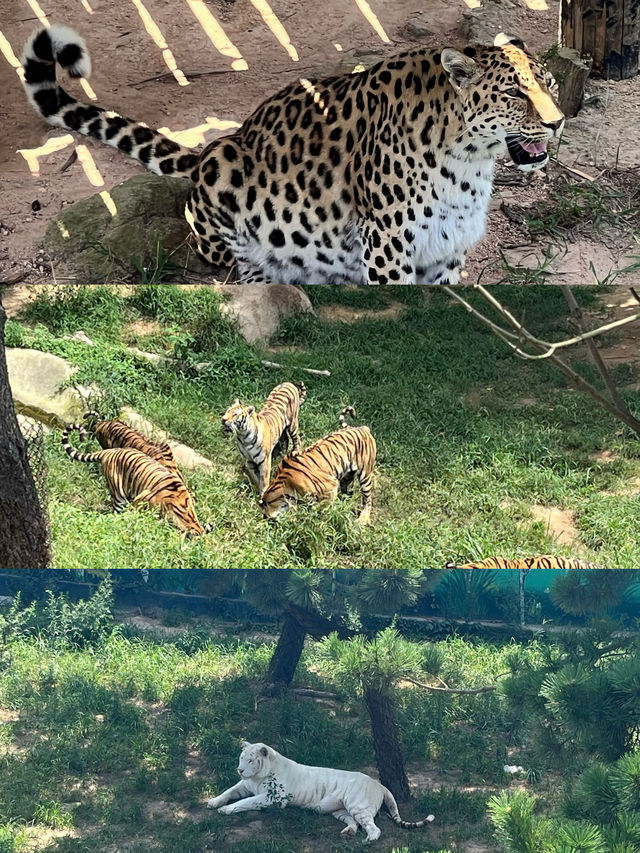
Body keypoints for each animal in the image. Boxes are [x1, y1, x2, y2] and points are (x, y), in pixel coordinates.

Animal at [20, 26, 564, 284]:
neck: (469, 160)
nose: (558, 122)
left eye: (552, 84)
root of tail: (209, 150)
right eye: (514, 93)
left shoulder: (448, 248)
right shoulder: (389, 246)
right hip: (225, 174)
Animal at [205, 740, 436, 840]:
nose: (240, 769)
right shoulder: (244, 785)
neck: (256, 776)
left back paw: (368, 840)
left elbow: (244, 802)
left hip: (357, 805)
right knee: (354, 823)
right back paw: (347, 832)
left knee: (373, 828)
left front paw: (225, 810)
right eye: (241, 757)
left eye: (251, 760)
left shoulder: (274, 798)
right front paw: (213, 802)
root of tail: (379, 784)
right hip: (341, 810)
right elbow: (229, 792)